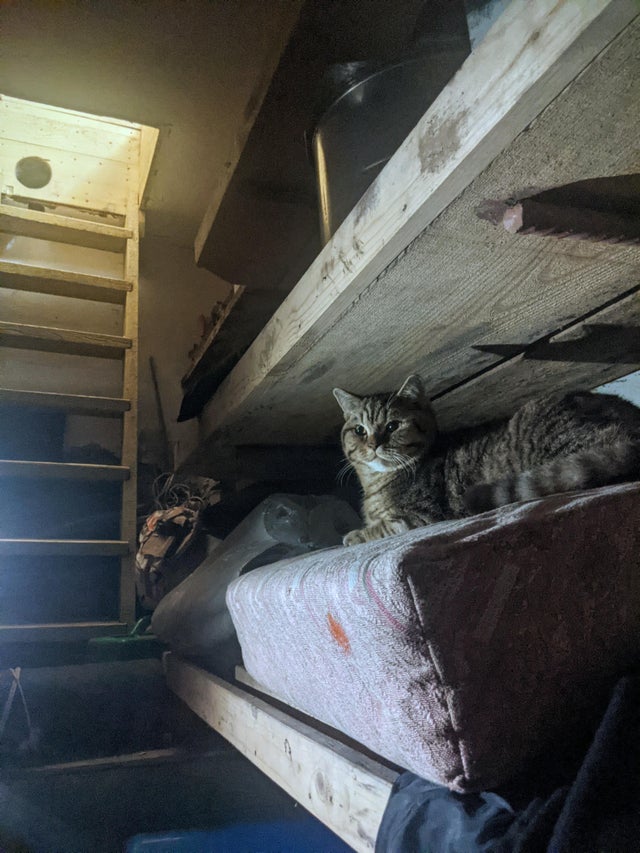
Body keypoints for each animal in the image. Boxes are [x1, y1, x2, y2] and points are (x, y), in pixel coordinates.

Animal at [333, 374, 640, 545]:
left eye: (393, 426)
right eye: (359, 430)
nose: (373, 444)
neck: (378, 481)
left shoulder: (420, 515)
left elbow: (381, 527)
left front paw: (355, 535)